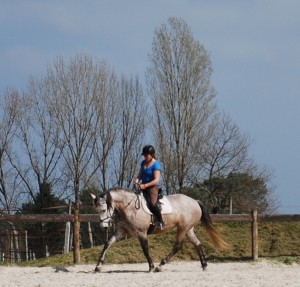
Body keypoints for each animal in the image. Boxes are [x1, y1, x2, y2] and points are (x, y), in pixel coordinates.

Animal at [90, 188, 229, 274]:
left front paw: (151, 267)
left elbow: (145, 250)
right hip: (188, 229)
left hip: (182, 228)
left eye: (103, 209)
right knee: (197, 244)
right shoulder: (121, 232)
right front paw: (98, 266)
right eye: (96, 210)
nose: (103, 226)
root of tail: (195, 201)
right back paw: (204, 265)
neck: (128, 207)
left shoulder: (141, 233)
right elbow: (107, 244)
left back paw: (159, 266)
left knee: (177, 246)